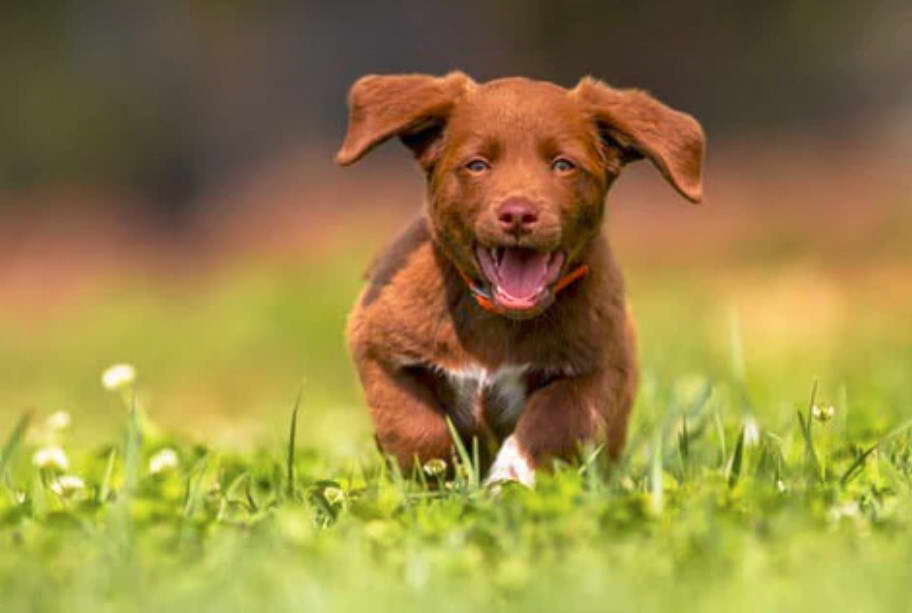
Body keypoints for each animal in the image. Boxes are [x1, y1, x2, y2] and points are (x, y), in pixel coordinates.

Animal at [336, 73, 704, 482]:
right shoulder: (377, 345)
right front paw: (435, 477)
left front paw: (508, 482)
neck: (498, 317)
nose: (517, 214)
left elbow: (552, 423)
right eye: (477, 165)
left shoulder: (598, 367)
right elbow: (413, 425)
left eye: (563, 165)